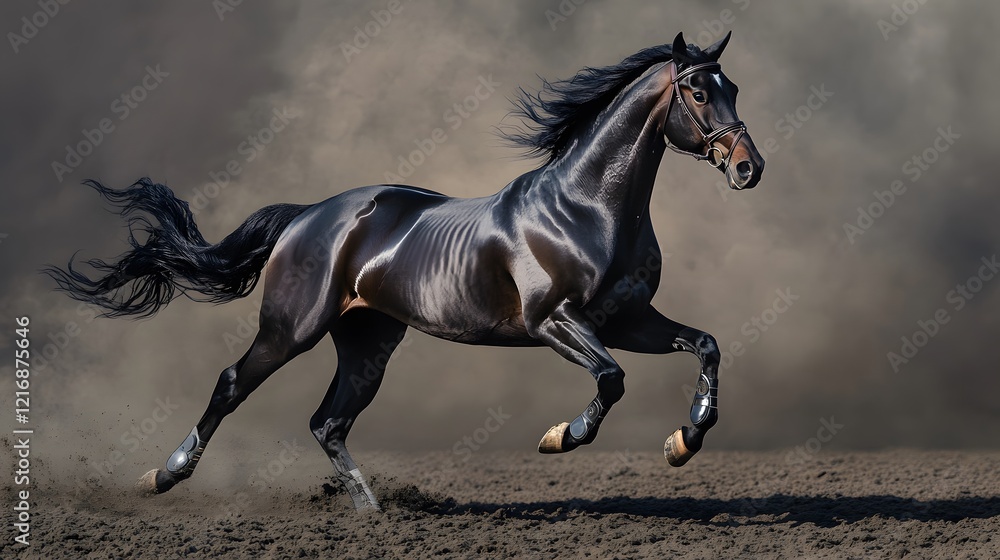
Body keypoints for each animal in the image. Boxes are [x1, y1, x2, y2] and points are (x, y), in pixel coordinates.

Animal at [46, 32, 764, 511]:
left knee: (328, 422)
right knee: (231, 385)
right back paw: (164, 475)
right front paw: (562, 437)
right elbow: (612, 381)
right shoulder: (555, 322)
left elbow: (706, 345)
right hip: (290, 329)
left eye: (732, 87)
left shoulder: (627, 319)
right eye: (697, 90)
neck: (588, 208)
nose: (748, 168)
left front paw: (684, 440)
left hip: (368, 341)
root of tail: (307, 217)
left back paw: (372, 514)